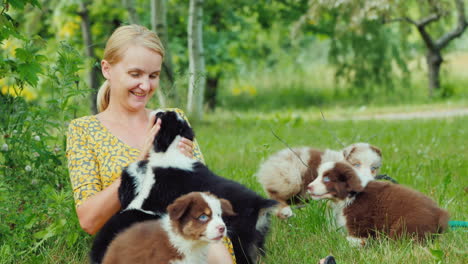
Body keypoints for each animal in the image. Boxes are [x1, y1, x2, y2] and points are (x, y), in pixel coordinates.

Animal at [254, 142, 382, 219]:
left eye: (373, 168)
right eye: (356, 164)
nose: (368, 181)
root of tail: (268, 162)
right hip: (289, 178)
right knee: (274, 194)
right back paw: (285, 211)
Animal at [308, 162, 450, 246]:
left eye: (327, 179)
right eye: (318, 175)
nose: (308, 187)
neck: (352, 194)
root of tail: (440, 215)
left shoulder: (360, 222)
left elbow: (355, 238)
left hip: (405, 225)